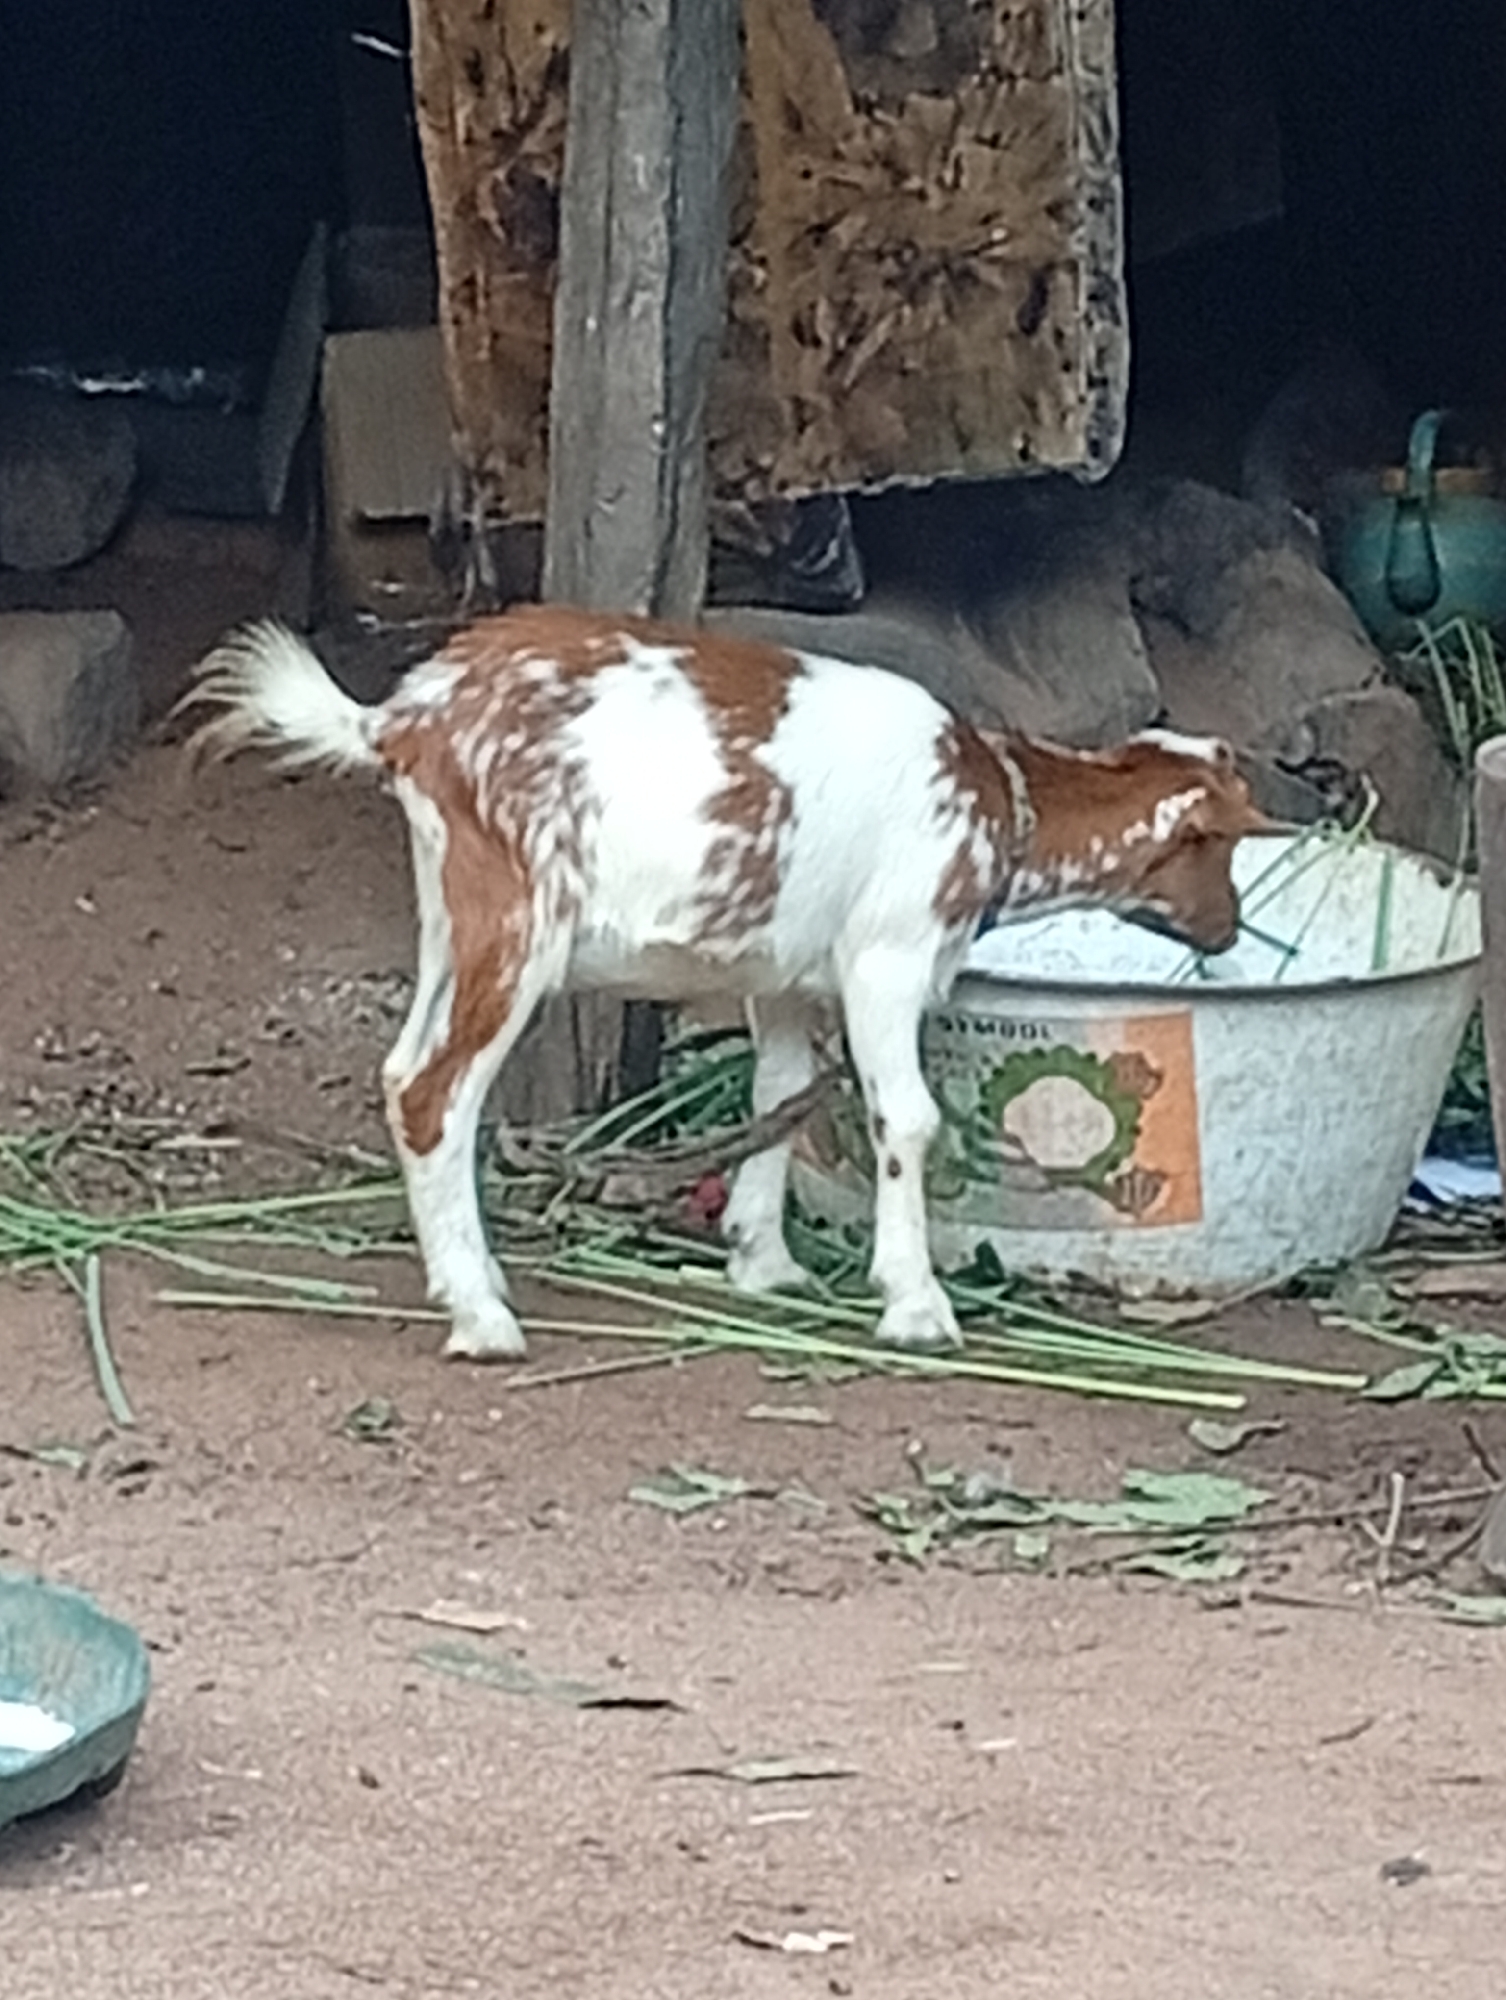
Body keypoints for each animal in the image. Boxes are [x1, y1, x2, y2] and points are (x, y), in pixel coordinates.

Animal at [185, 606, 1265, 1360]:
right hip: (521, 919)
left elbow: (778, 1097)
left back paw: (468, 1279)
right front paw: (915, 1303)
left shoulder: (782, 974)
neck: (999, 800)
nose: (1229, 928)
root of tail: (399, 718)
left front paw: (764, 1261)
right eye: (1219, 846)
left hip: (453, 917)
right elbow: (907, 1118)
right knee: (433, 1092)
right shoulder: (887, 955)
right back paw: (482, 1315)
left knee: (400, 1066)